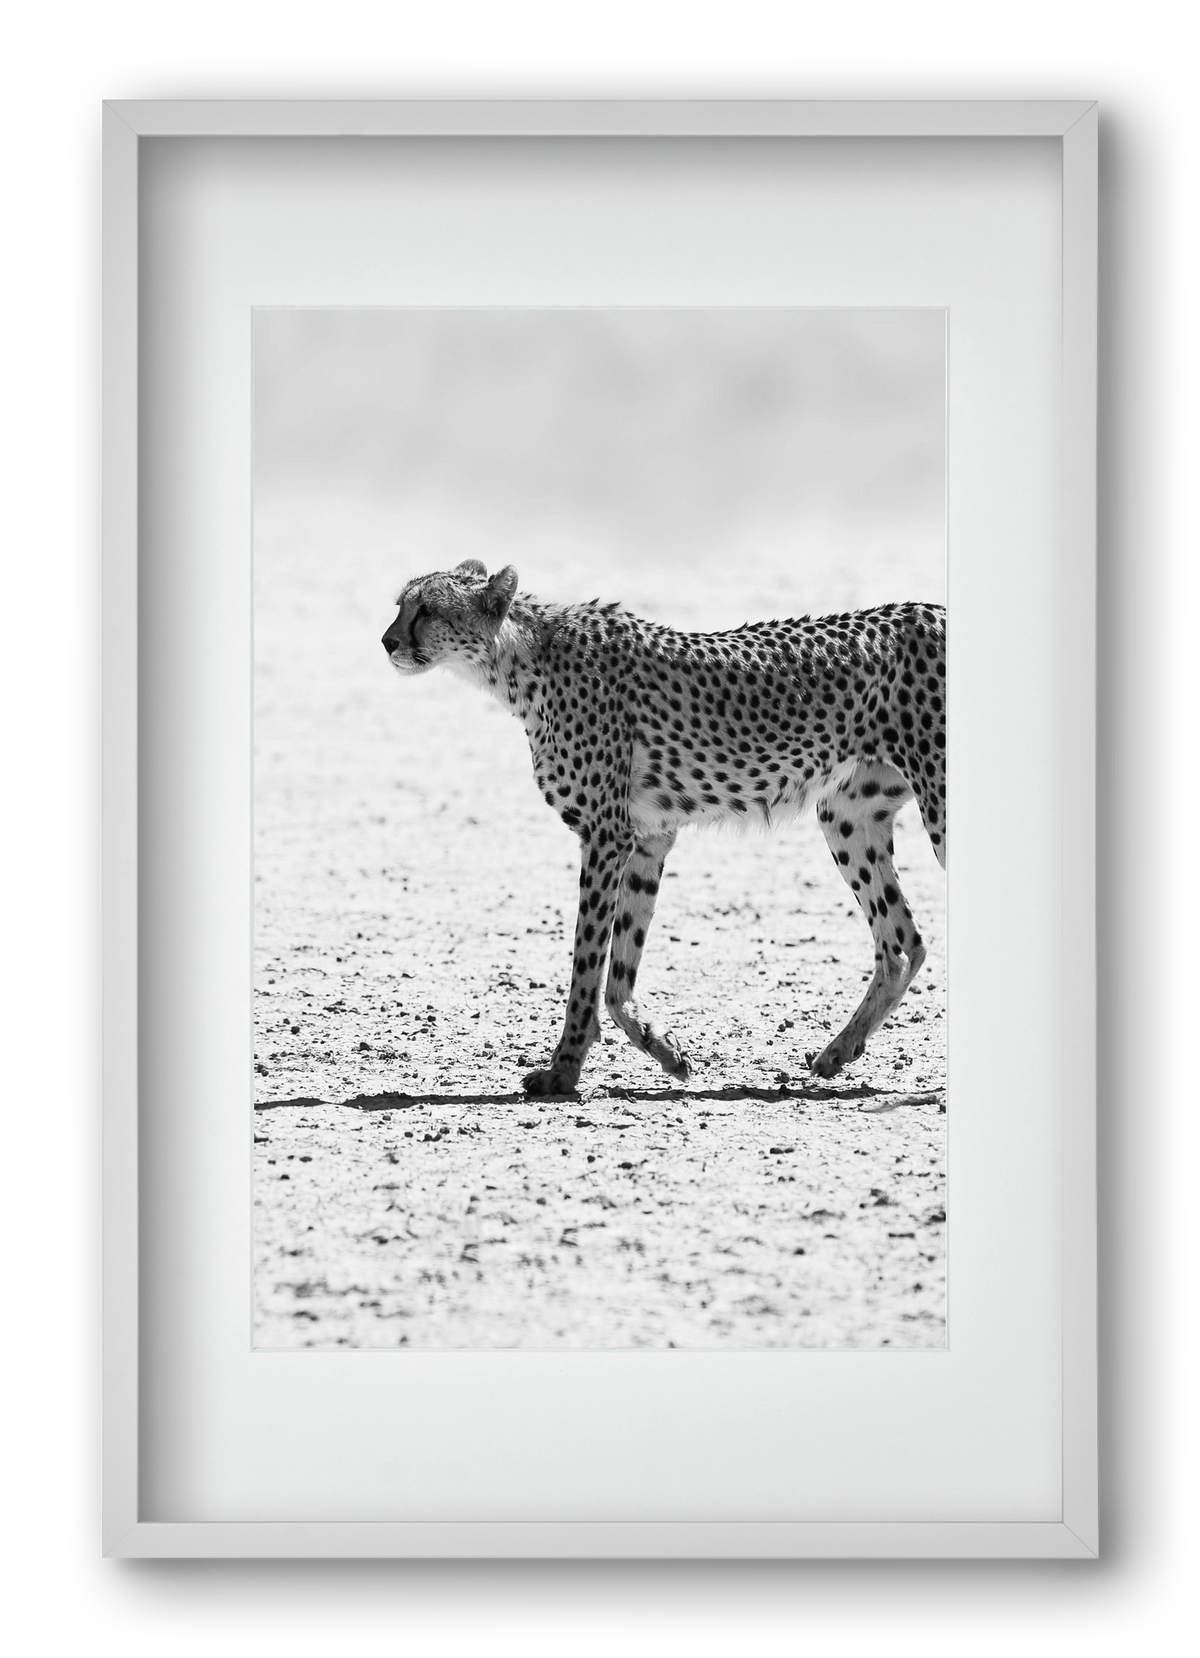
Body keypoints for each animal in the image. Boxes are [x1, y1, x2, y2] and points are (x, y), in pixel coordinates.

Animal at [383, 559, 946, 1097]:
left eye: (427, 609)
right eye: (400, 605)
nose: (387, 641)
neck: (519, 660)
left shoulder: (606, 835)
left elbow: (587, 964)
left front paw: (563, 1071)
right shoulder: (648, 838)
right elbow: (618, 972)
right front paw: (666, 1051)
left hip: (936, 805)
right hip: (847, 816)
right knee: (902, 942)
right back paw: (838, 1052)